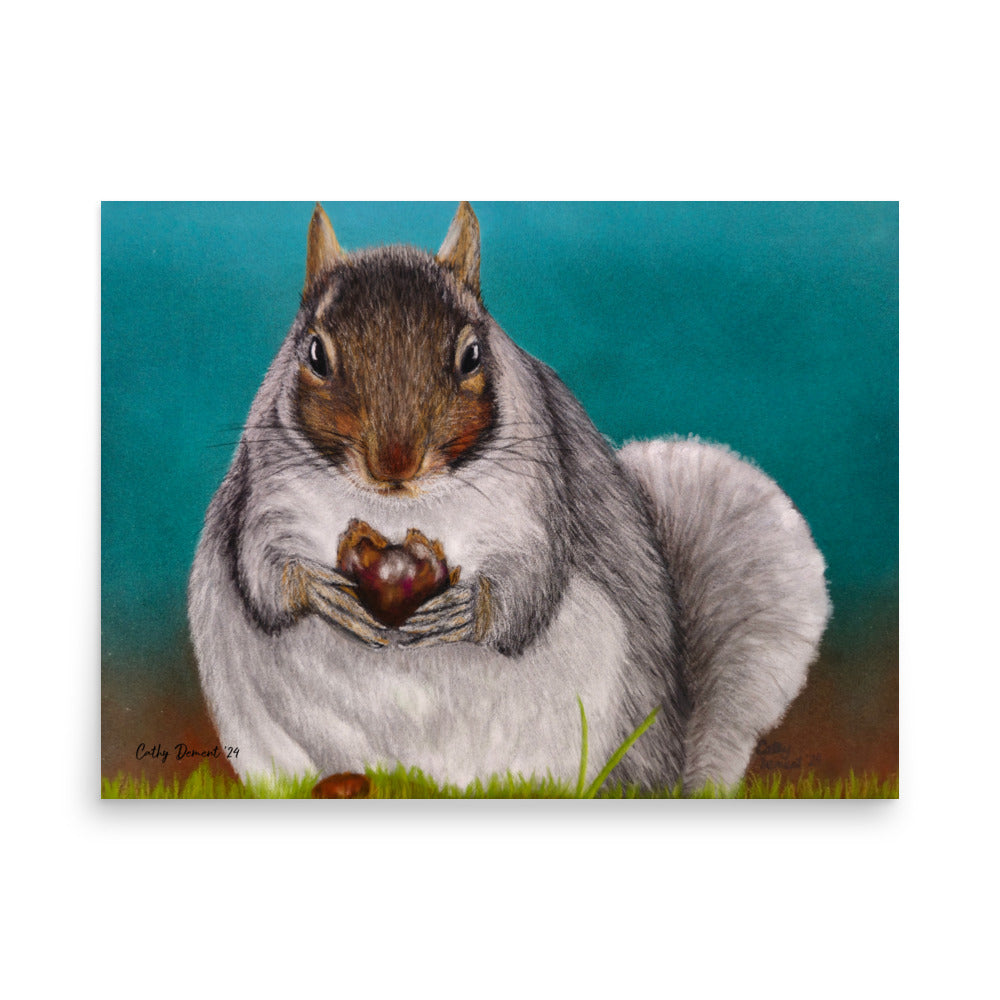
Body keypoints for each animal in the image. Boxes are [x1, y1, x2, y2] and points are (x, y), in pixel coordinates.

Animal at [188, 202, 831, 794]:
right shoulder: (267, 493)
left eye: (472, 354)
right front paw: (321, 590)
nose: (395, 464)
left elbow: (532, 582)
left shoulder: (538, 499)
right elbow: (262, 571)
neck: (398, 508)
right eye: (315, 354)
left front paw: (468, 609)